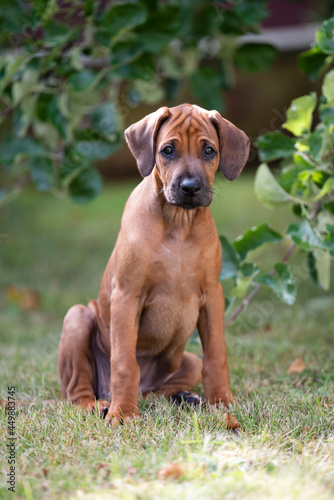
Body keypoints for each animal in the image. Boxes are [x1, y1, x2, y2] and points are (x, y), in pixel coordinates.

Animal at [58, 103, 249, 424]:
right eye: (168, 150)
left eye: (209, 150)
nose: (190, 187)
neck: (178, 225)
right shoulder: (127, 295)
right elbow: (124, 363)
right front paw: (122, 413)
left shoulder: (212, 295)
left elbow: (216, 355)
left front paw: (222, 401)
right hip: (78, 317)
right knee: (77, 390)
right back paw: (100, 404)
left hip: (187, 361)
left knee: (158, 391)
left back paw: (182, 397)